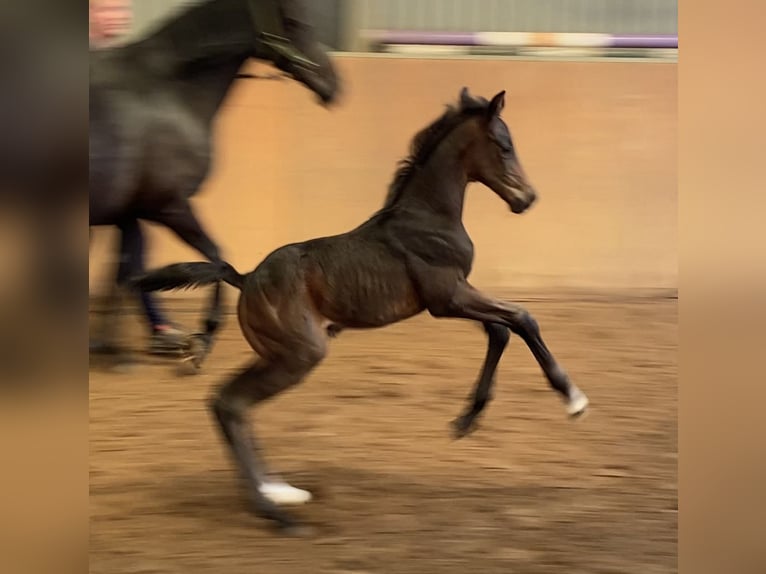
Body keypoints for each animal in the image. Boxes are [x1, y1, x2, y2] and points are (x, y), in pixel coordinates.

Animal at [90, 0, 342, 366]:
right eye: (295, 21)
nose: (335, 86)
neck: (169, 92)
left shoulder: (132, 212)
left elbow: (125, 273)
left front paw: (116, 346)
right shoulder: (169, 207)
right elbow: (219, 260)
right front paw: (204, 337)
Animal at [135, 88, 592, 532]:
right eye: (503, 145)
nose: (527, 199)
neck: (428, 217)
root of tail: (245, 278)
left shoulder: (458, 296)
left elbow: (501, 330)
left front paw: (466, 420)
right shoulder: (448, 298)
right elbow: (521, 318)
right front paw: (573, 399)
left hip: (276, 353)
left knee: (228, 403)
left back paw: (281, 492)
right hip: (300, 355)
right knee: (232, 404)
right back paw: (277, 513)